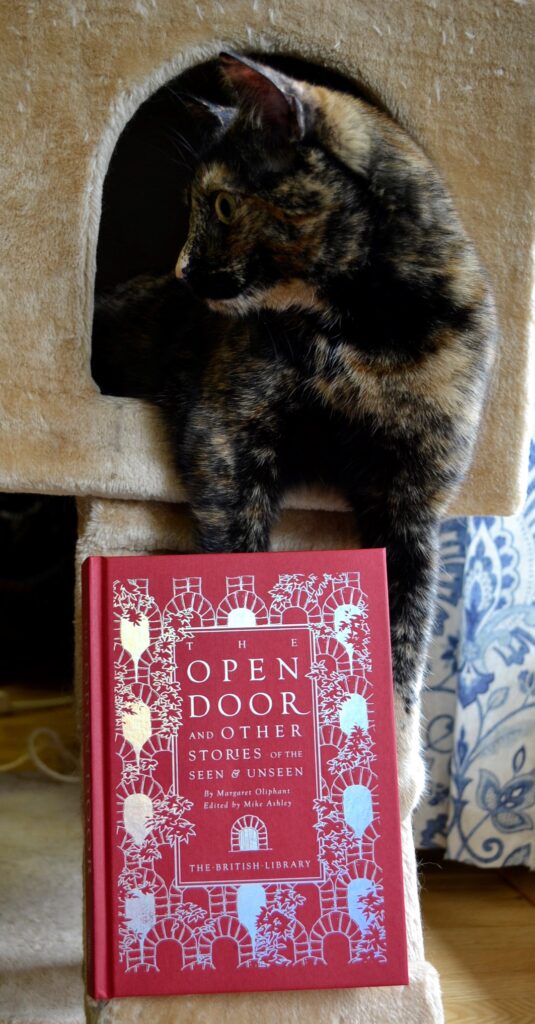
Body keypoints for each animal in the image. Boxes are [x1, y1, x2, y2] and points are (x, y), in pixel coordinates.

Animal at [92, 54, 496, 729]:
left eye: (224, 205)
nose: (181, 270)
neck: (364, 340)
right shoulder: (226, 441)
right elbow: (241, 556)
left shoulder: (412, 500)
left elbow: (406, 639)